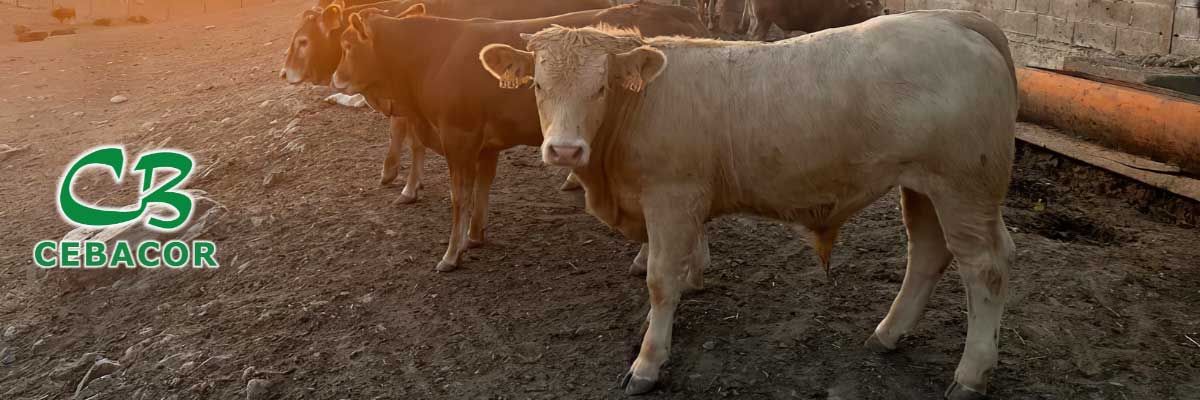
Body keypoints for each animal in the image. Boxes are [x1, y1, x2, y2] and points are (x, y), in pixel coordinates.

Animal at [326, 3, 700, 269]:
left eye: (347, 44)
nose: (334, 78)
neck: (435, 57)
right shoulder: (484, 144)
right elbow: (482, 188)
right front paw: (474, 236)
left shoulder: (457, 138)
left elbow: (460, 196)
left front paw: (451, 254)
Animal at [482, 10, 1017, 398]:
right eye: (537, 85)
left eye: (600, 87)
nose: (565, 151)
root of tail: (952, 18)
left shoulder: (671, 197)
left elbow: (659, 279)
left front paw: (648, 361)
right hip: (922, 186)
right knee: (927, 253)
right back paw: (887, 334)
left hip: (963, 188)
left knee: (984, 269)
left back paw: (970, 375)